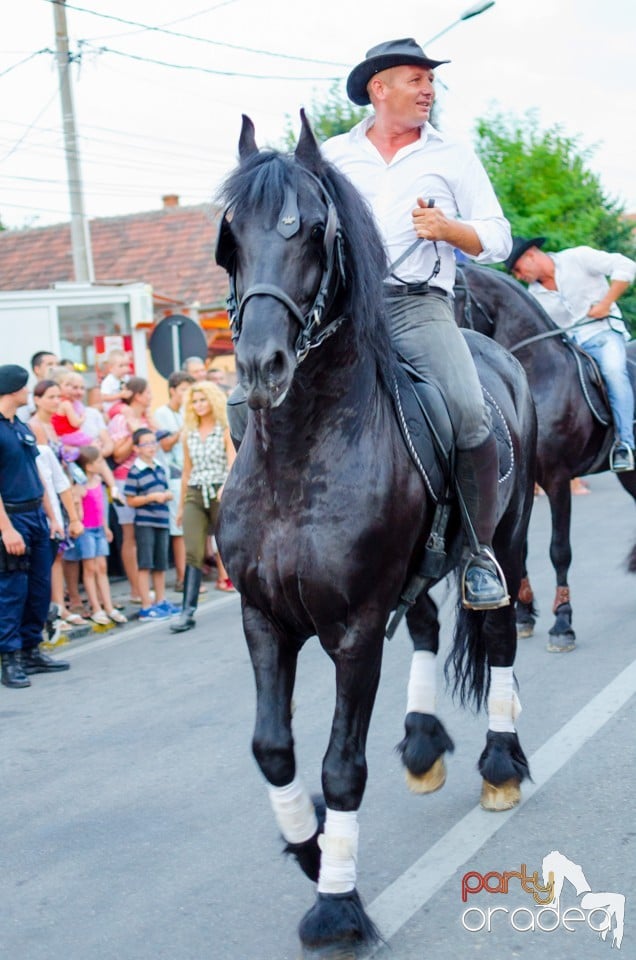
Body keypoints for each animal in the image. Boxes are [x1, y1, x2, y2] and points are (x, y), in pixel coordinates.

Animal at [217, 116, 536, 956]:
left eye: (312, 230)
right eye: (230, 237)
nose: (261, 365)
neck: (302, 453)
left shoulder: (355, 630)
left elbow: (341, 766)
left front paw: (336, 904)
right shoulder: (263, 618)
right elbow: (273, 749)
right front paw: (309, 845)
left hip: (508, 542)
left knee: (498, 638)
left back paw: (500, 763)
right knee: (425, 625)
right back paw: (423, 742)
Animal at [452, 266, 636, 648]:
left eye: (454, 293)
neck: (536, 373)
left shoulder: (557, 480)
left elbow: (558, 550)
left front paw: (563, 622)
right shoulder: (524, 487)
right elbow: (519, 552)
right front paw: (523, 614)